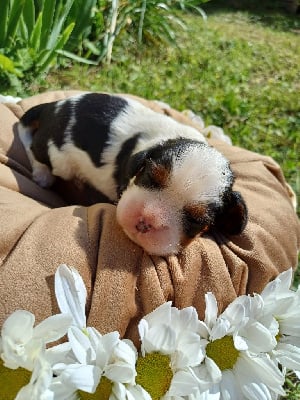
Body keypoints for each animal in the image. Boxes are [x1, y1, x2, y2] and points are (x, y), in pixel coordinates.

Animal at [17, 93, 247, 255]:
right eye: (151, 176)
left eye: (196, 220)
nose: (145, 222)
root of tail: (52, 107)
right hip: (57, 158)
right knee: (32, 147)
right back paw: (42, 174)